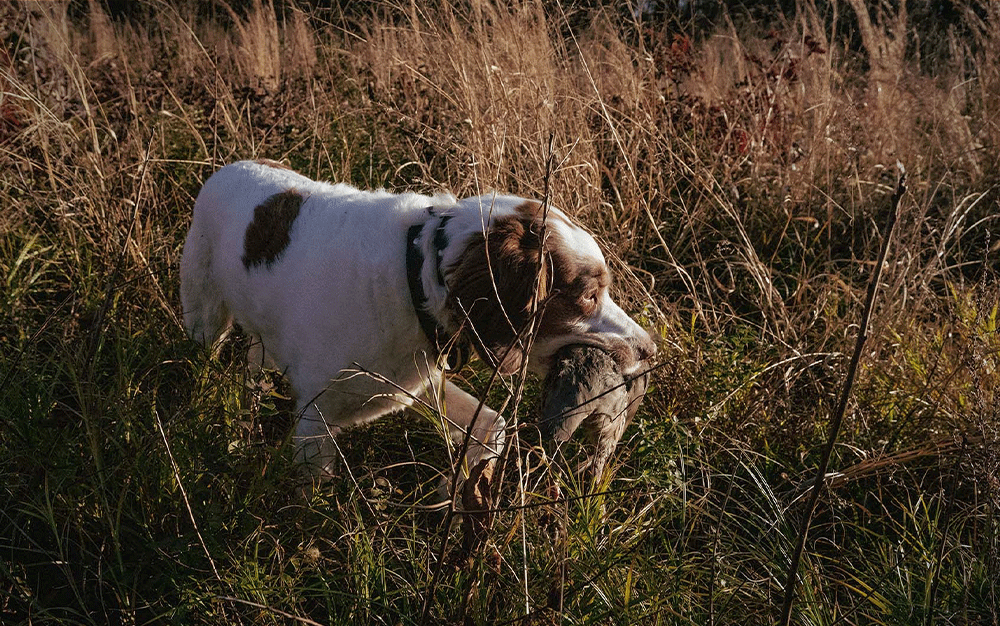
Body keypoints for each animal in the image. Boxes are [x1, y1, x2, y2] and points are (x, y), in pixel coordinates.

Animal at [182, 161, 656, 492]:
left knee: (253, 359)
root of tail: (228, 167)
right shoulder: (314, 423)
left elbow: (495, 426)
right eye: (588, 295)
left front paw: (455, 490)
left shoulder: (416, 383)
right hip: (204, 322)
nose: (650, 350)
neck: (413, 278)